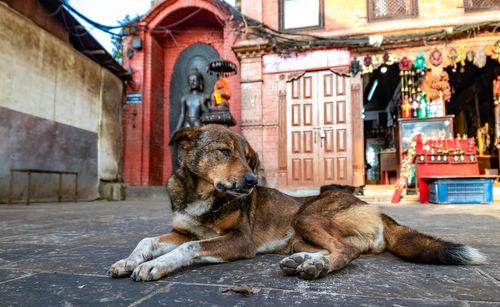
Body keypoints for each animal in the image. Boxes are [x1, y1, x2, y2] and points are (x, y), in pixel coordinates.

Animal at [108, 124, 484, 282]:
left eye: (249, 159)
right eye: (224, 151)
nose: (251, 182)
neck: (205, 195)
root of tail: (378, 210)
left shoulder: (240, 241)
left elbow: (187, 249)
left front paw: (156, 266)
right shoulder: (182, 231)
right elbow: (148, 240)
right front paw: (127, 261)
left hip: (307, 216)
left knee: (347, 250)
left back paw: (316, 268)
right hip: (302, 234)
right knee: (344, 249)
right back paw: (305, 261)